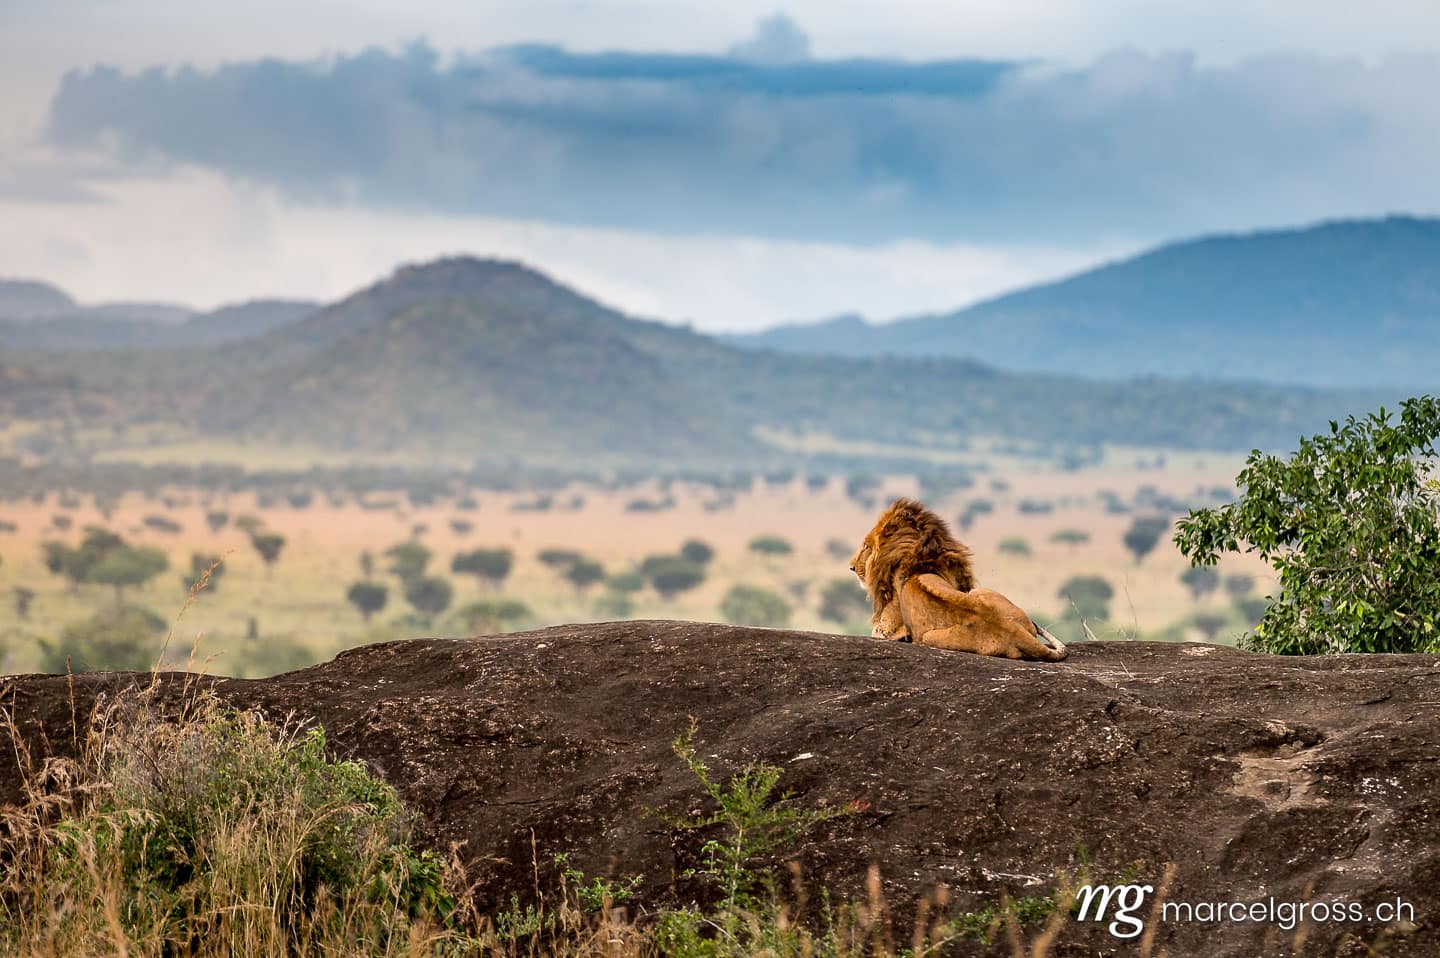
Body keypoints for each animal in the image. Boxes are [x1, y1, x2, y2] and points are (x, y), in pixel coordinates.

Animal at [849, 498, 1067, 661]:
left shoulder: (886, 629)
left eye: (866, 546)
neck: (917, 559)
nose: (851, 567)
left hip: (929, 636)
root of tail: (1013, 631)